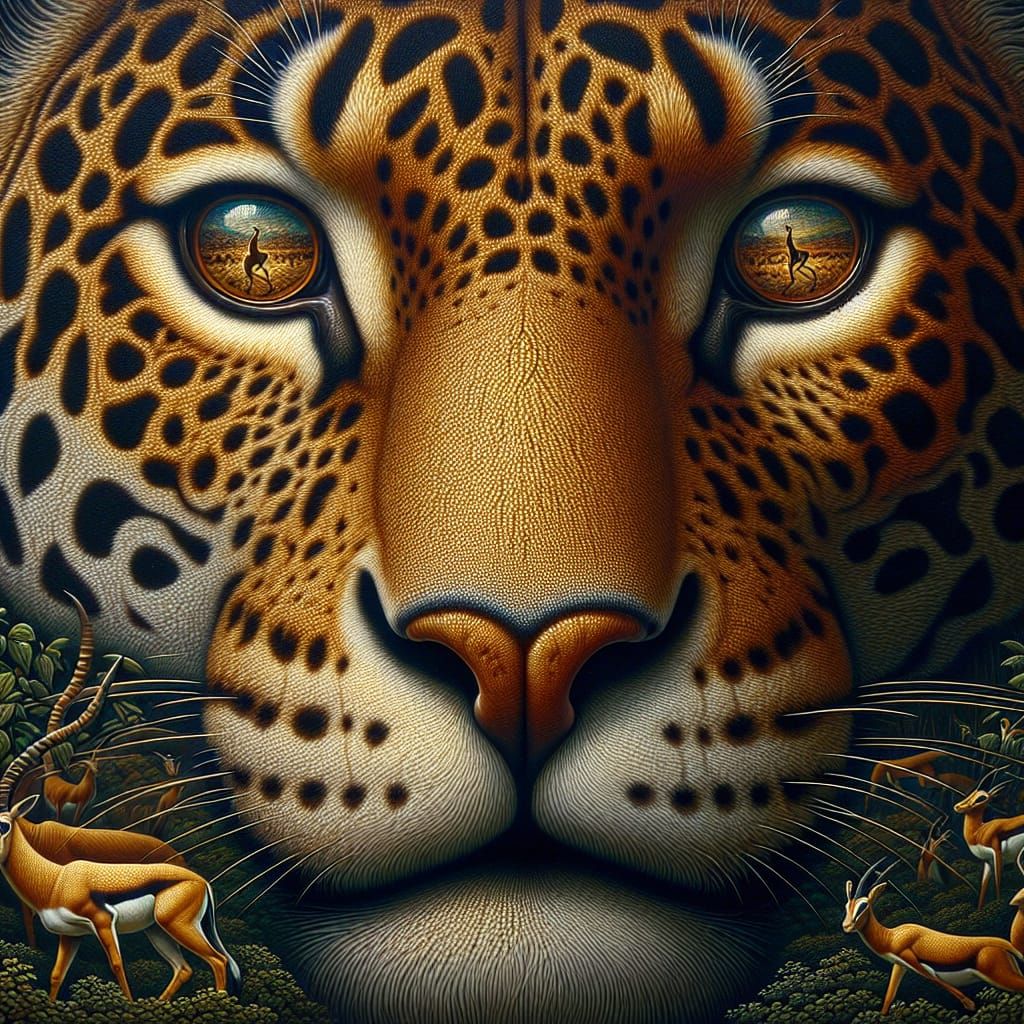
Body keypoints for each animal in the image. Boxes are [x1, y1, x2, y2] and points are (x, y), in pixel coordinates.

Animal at [0, 660, 240, 1002]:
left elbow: (116, 965)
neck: (56, 879)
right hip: (157, 931)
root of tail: (200, 881)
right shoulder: (70, 935)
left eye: (3, 824)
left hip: (176, 927)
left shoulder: (102, 922)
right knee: (185, 968)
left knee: (217, 960)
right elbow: (57, 975)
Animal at [842, 860, 1024, 1015]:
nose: (846, 926)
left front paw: (970, 1004)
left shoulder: (912, 960)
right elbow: (889, 997)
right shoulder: (899, 965)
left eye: (863, 905)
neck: (891, 937)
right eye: (846, 906)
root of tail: (1008, 946)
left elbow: (934, 978)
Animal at [954, 770, 1024, 908]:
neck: (978, 832)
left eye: (981, 798)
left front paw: (998, 903)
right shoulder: (988, 862)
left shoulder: (997, 852)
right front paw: (979, 910)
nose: (957, 807)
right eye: (970, 794)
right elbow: (983, 890)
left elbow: (997, 882)